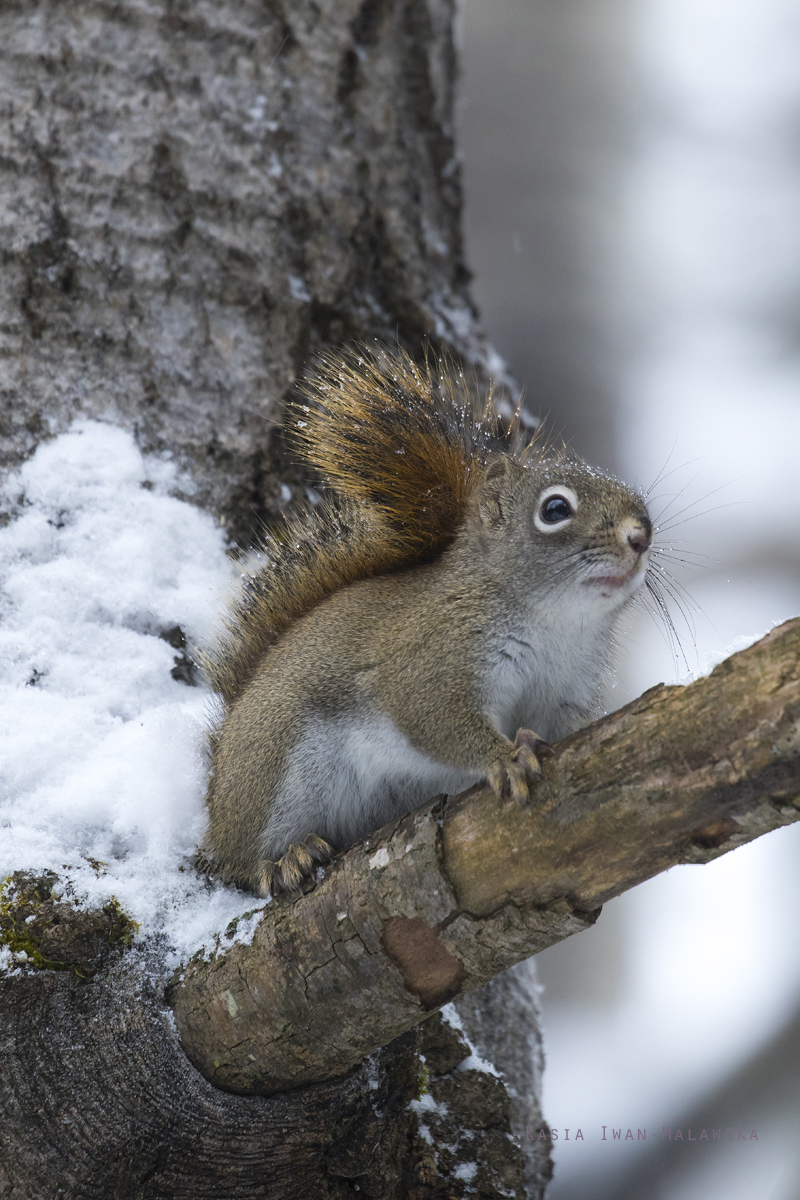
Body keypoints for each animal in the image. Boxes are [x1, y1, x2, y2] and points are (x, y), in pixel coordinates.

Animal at [199, 343, 652, 897]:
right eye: (555, 509)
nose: (642, 534)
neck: (558, 625)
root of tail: (216, 796)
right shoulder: (432, 659)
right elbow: (437, 719)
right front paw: (504, 757)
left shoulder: (565, 692)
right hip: (273, 767)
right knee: (240, 864)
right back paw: (282, 860)